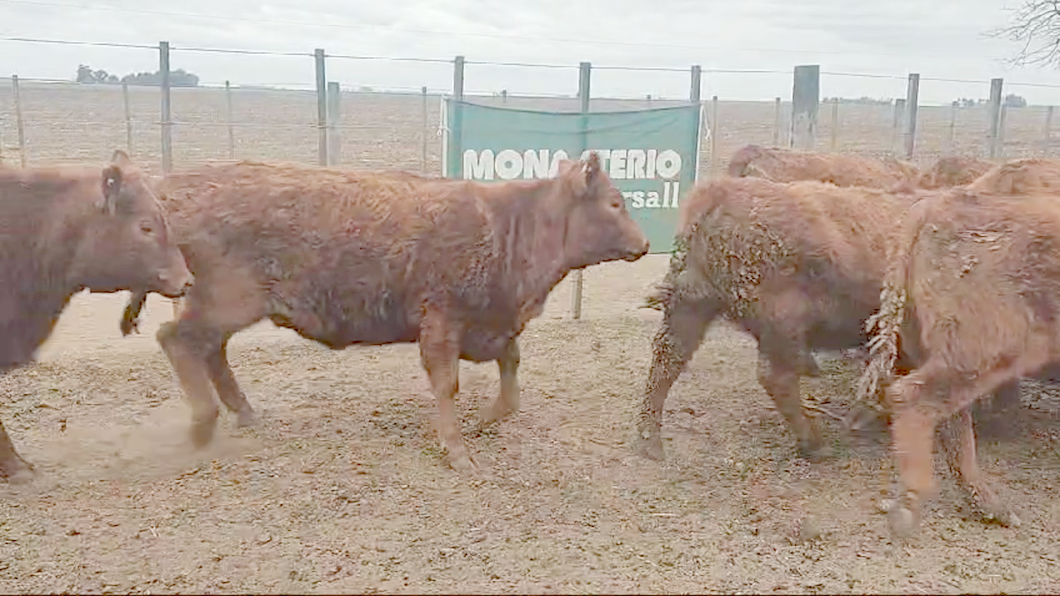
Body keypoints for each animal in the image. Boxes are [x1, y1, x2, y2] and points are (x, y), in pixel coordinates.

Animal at [113, 152, 644, 468]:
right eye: (615, 203)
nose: (643, 244)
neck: (506, 225)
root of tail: (172, 192)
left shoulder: (492, 324)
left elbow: (511, 375)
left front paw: (485, 421)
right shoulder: (443, 323)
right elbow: (447, 384)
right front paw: (456, 449)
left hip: (221, 307)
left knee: (210, 351)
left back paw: (243, 413)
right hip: (224, 301)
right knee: (178, 342)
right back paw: (204, 424)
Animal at [631, 176, 924, 460]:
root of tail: (721, 192)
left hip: (692, 305)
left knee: (668, 358)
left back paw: (650, 443)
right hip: (780, 323)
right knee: (776, 377)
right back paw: (815, 446)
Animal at [856, 184, 1060, 534]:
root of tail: (937, 205)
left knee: (950, 419)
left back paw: (991, 509)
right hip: (987, 351)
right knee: (913, 399)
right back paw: (912, 505)